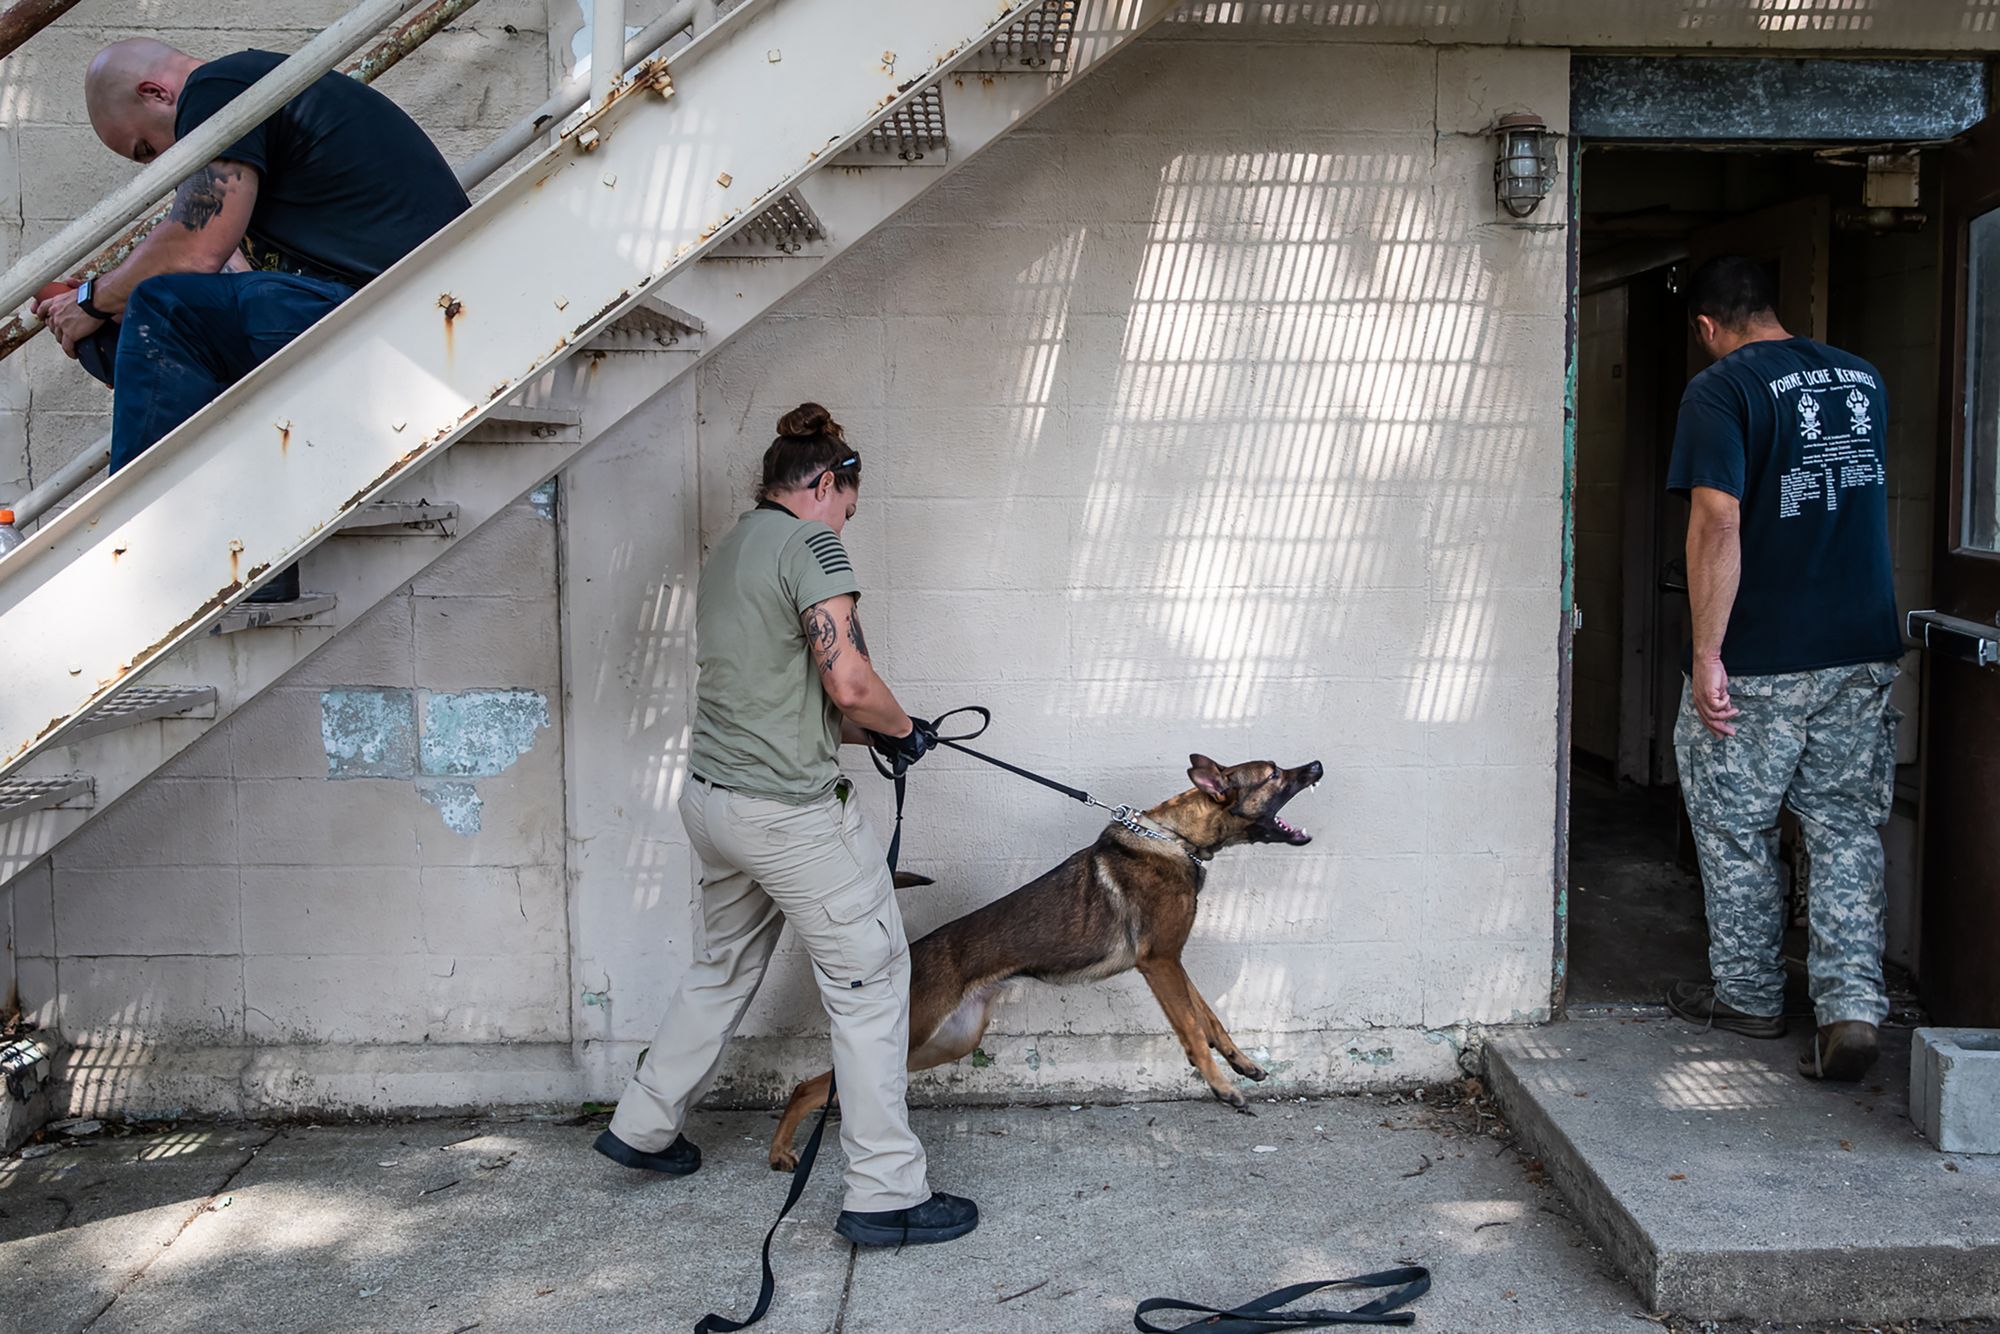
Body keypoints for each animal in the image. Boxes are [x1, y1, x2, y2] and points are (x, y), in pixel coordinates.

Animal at [768, 756, 1328, 1176]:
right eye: (1274, 773)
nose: (1317, 765)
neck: (1176, 838)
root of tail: (913, 951)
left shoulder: (1173, 962)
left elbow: (1209, 1015)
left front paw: (1241, 1062)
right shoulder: (1159, 963)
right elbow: (1191, 1028)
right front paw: (1220, 1085)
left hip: (944, 1042)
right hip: (913, 1035)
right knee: (807, 1086)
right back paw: (780, 1150)